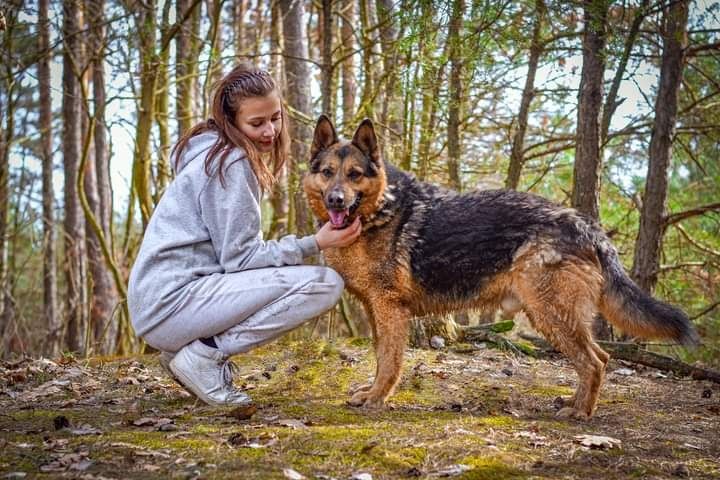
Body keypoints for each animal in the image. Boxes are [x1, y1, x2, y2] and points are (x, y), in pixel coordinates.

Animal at [300, 114, 700, 418]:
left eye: (354, 174)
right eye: (328, 172)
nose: (336, 200)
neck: (380, 208)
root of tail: (587, 226)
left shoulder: (389, 311)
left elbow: (388, 360)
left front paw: (376, 397)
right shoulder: (377, 312)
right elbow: (380, 355)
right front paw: (372, 391)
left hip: (550, 313)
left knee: (594, 361)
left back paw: (580, 412)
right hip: (552, 315)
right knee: (600, 357)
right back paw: (575, 402)